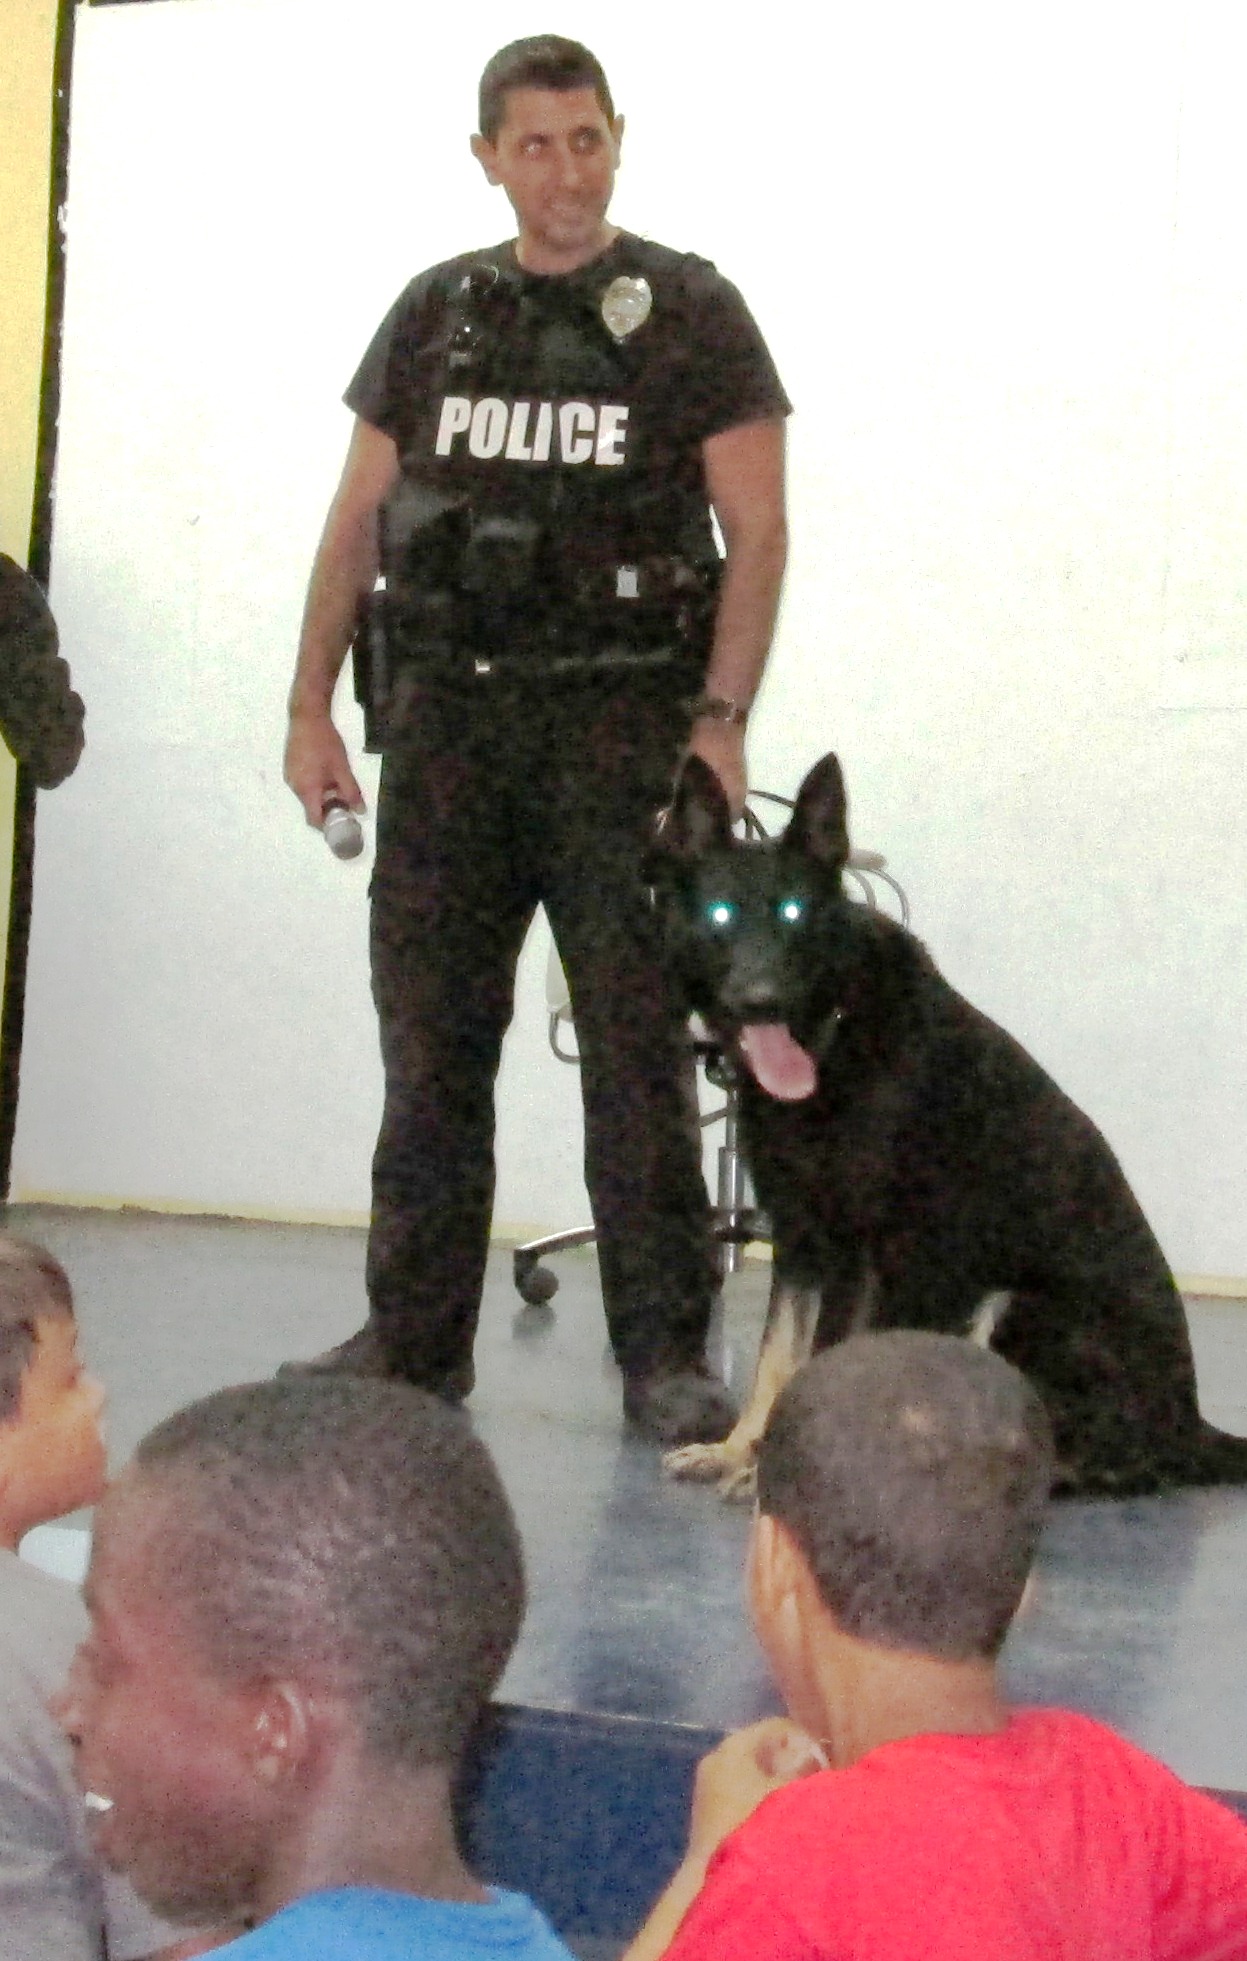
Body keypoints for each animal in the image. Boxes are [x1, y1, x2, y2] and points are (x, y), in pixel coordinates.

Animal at [647, 756, 1247, 1490]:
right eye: (721, 913)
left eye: (793, 912)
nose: (761, 1001)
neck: (831, 1037)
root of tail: (1191, 1426)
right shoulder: (802, 1240)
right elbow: (775, 1359)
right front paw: (739, 1449)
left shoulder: (861, 1255)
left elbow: (819, 1366)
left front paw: (775, 1473)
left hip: (1015, 1304)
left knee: (1095, 1460)